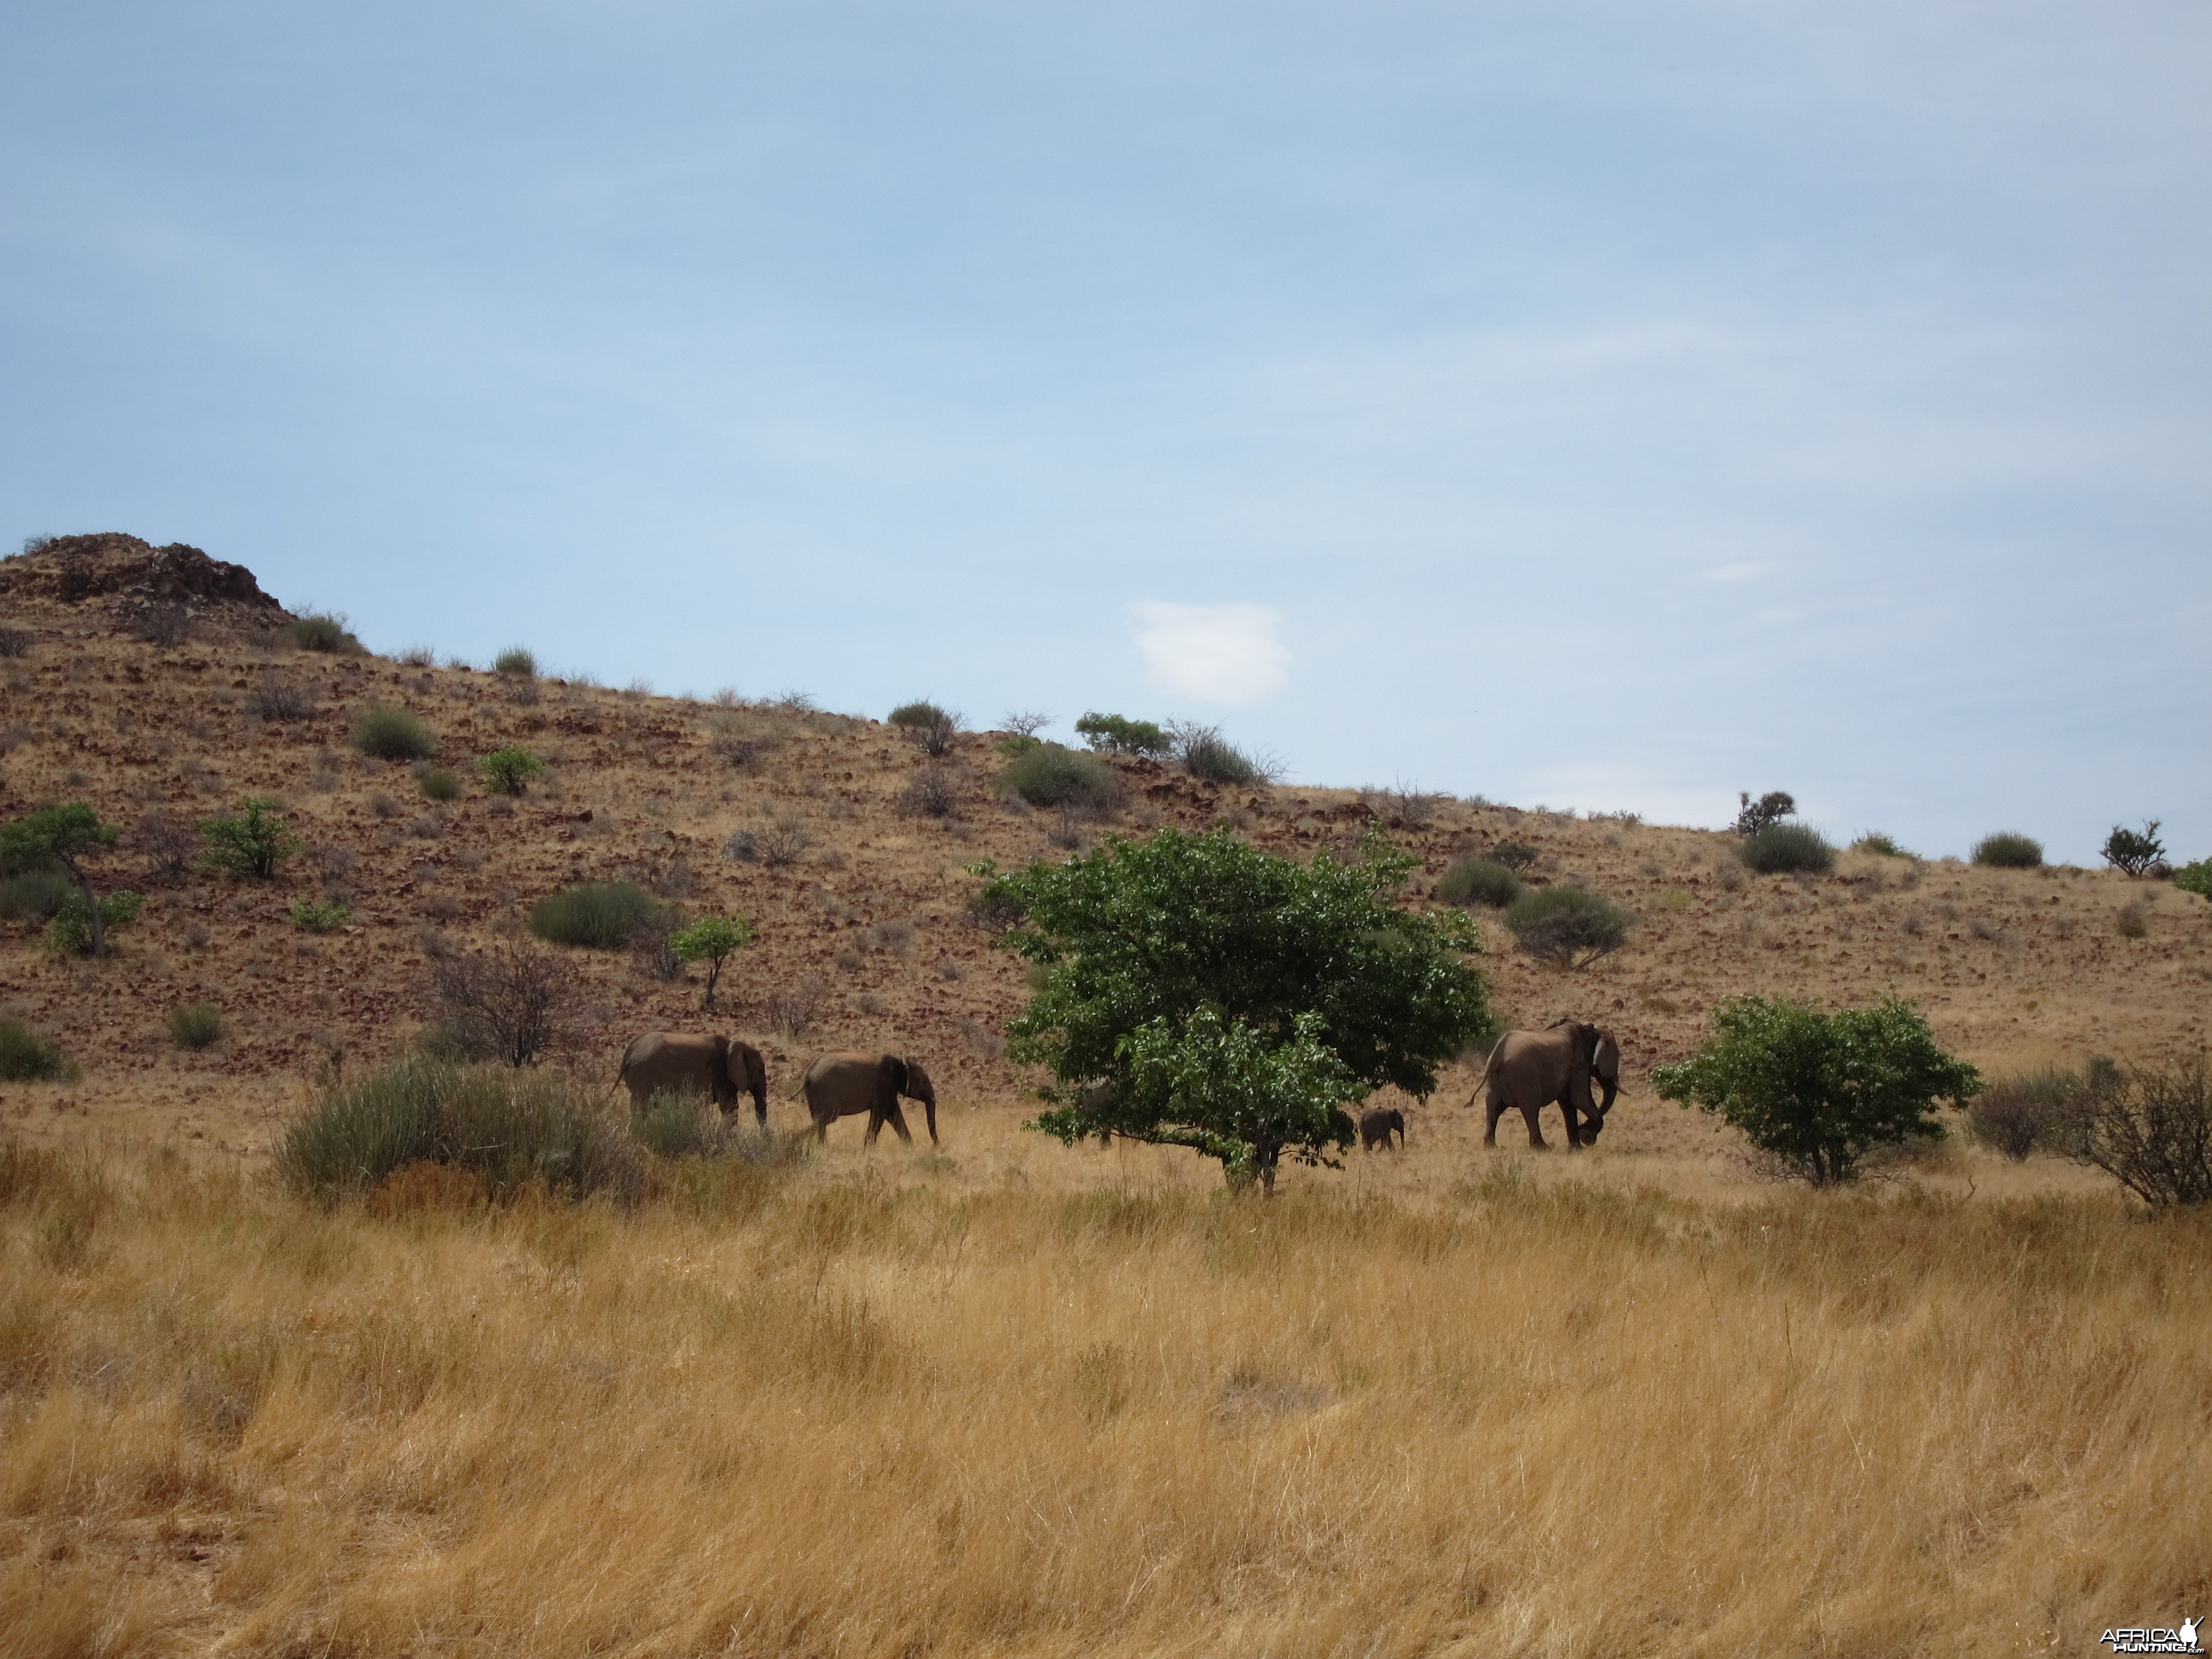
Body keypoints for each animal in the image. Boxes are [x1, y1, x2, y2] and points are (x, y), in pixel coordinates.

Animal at [615, 1039, 769, 1132]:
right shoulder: (722, 1075)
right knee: (641, 1106)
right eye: (760, 1070)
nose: (764, 1135)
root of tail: (627, 1057)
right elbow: (730, 1107)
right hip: (644, 1076)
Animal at [796, 1053, 933, 1141]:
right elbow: (882, 1115)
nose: (935, 1146)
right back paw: (794, 1137)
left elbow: (893, 1115)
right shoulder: (884, 1086)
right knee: (825, 1119)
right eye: (925, 1081)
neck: (900, 1062)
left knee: (819, 1121)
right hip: (825, 1092)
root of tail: (808, 1074)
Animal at [1477, 1022, 1619, 1150]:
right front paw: (1586, 1137)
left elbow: (1567, 1104)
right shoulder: (1579, 1064)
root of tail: (1497, 1055)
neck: (1591, 1032)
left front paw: (1577, 1148)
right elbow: (1580, 1099)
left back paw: (1491, 1147)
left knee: (1493, 1108)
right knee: (1531, 1110)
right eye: (1617, 1056)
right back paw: (1542, 1148)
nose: (1584, 1127)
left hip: (1494, 1080)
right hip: (1524, 1077)